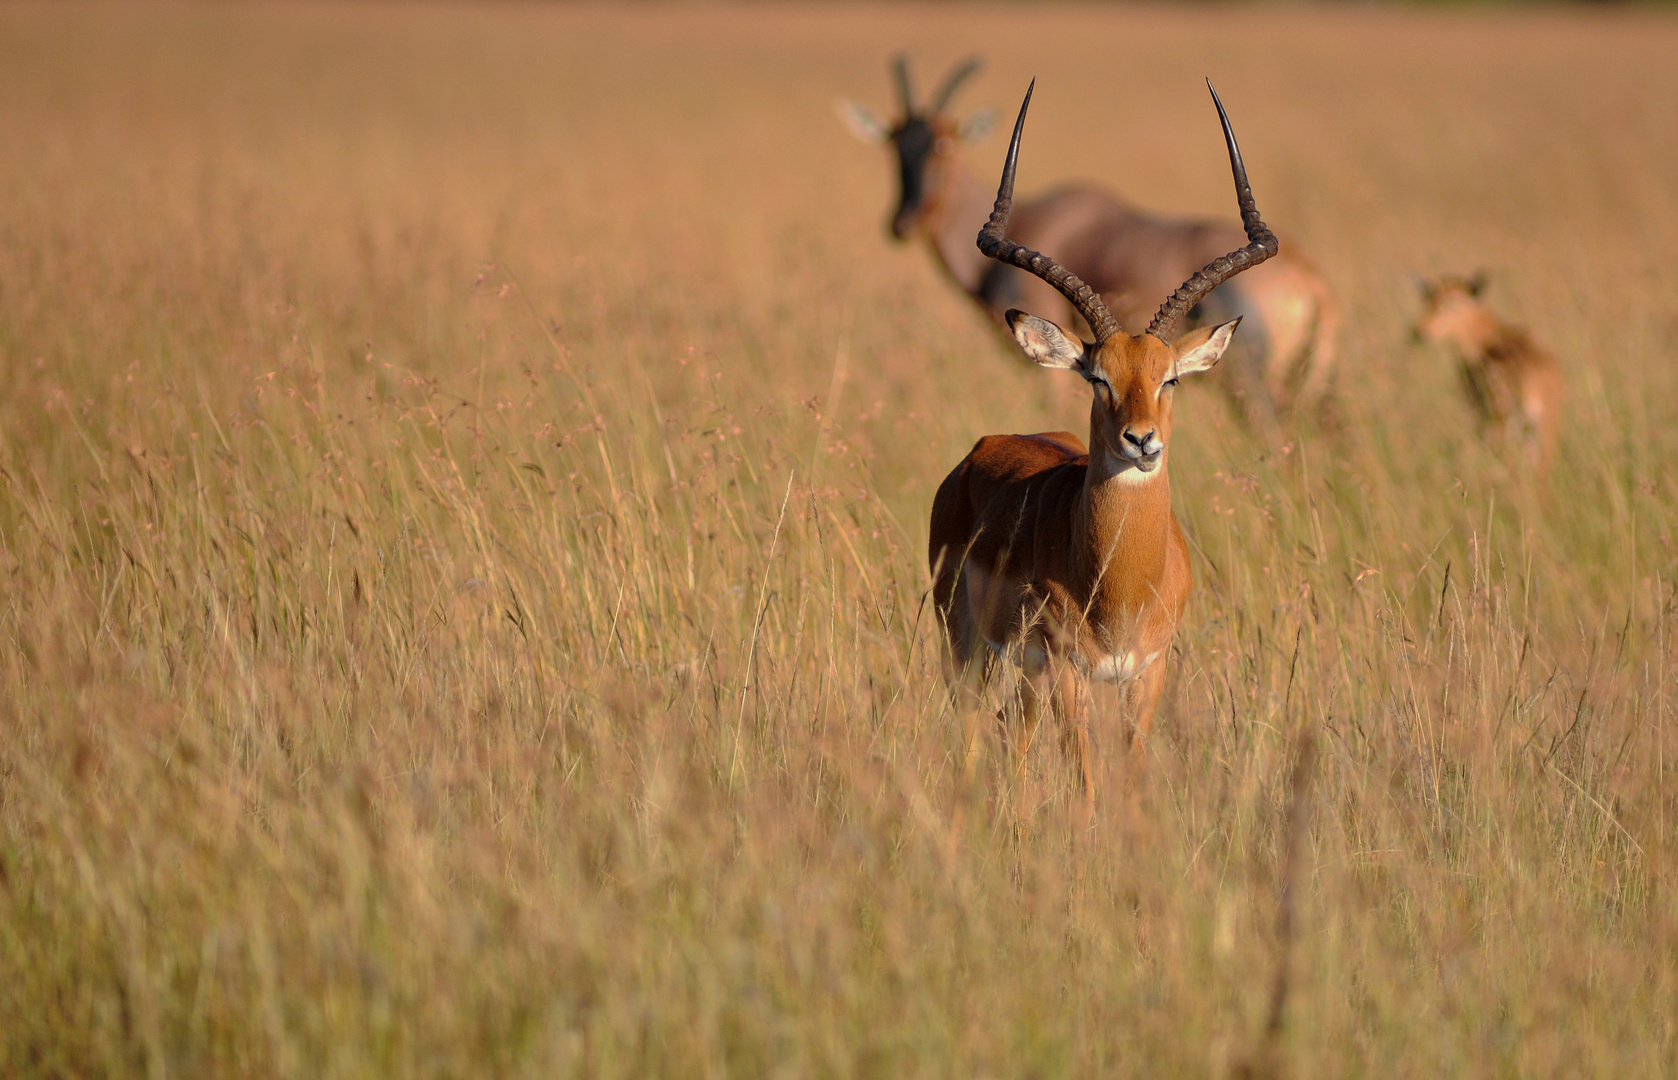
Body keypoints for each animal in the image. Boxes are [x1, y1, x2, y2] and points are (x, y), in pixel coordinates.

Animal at [932, 82, 1268, 818]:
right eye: (1097, 377)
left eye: (1170, 378)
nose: (1141, 440)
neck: (1118, 583)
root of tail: (981, 451)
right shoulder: (1067, 672)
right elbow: (1085, 778)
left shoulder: (1147, 674)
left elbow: (1130, 774)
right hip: (967, 647)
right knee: (975, 732)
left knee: (1013, 736)